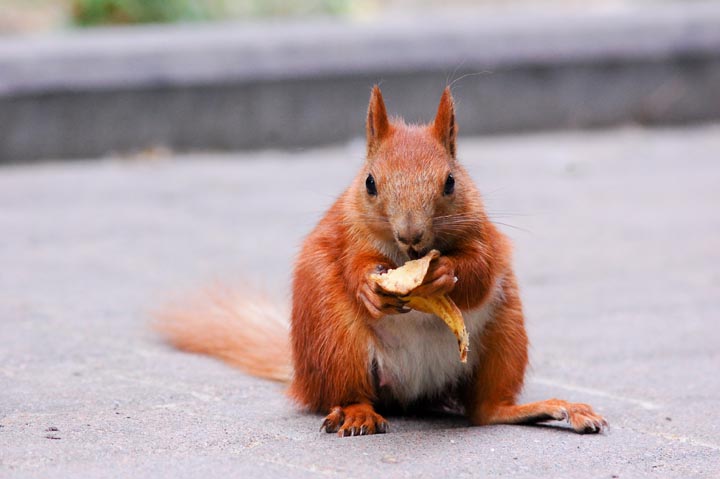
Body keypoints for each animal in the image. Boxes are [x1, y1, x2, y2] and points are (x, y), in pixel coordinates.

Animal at [155, 86, 604, 438]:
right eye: (370, 183)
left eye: (451, 181)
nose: (410, 235)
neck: (407, 255)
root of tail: (413, 387)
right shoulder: (347, 234)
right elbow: (354, 264)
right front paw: (370, 288)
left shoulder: (485, 236)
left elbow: (480, 270)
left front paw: (446, 272)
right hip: (335, 337)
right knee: (350, 392)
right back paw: (357, 415)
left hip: (505, 332)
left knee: (486, 410)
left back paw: (549, 408)